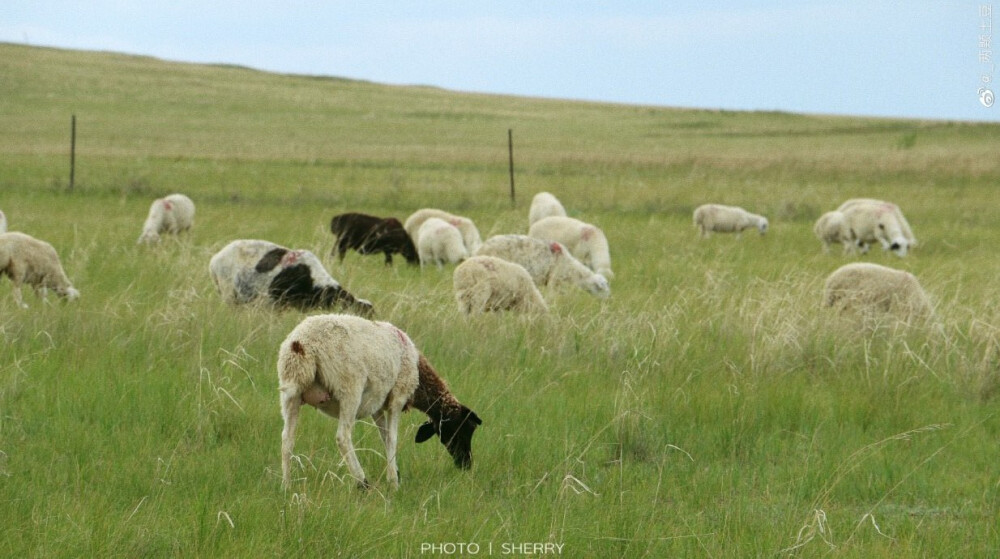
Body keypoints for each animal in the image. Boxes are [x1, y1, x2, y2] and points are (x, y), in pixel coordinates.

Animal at [280, 316, 482, 490]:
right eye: (464, 429)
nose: (466, 464)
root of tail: (301, 344)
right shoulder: (398, 397)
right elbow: (392, 438)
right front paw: (394, 482)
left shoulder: (376, 405)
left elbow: (384, 437)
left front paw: (395, 472)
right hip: (349, 389)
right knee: (343, 437)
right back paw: (362, 483)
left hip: (291, 394)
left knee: (287, 440)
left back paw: (287, 486)